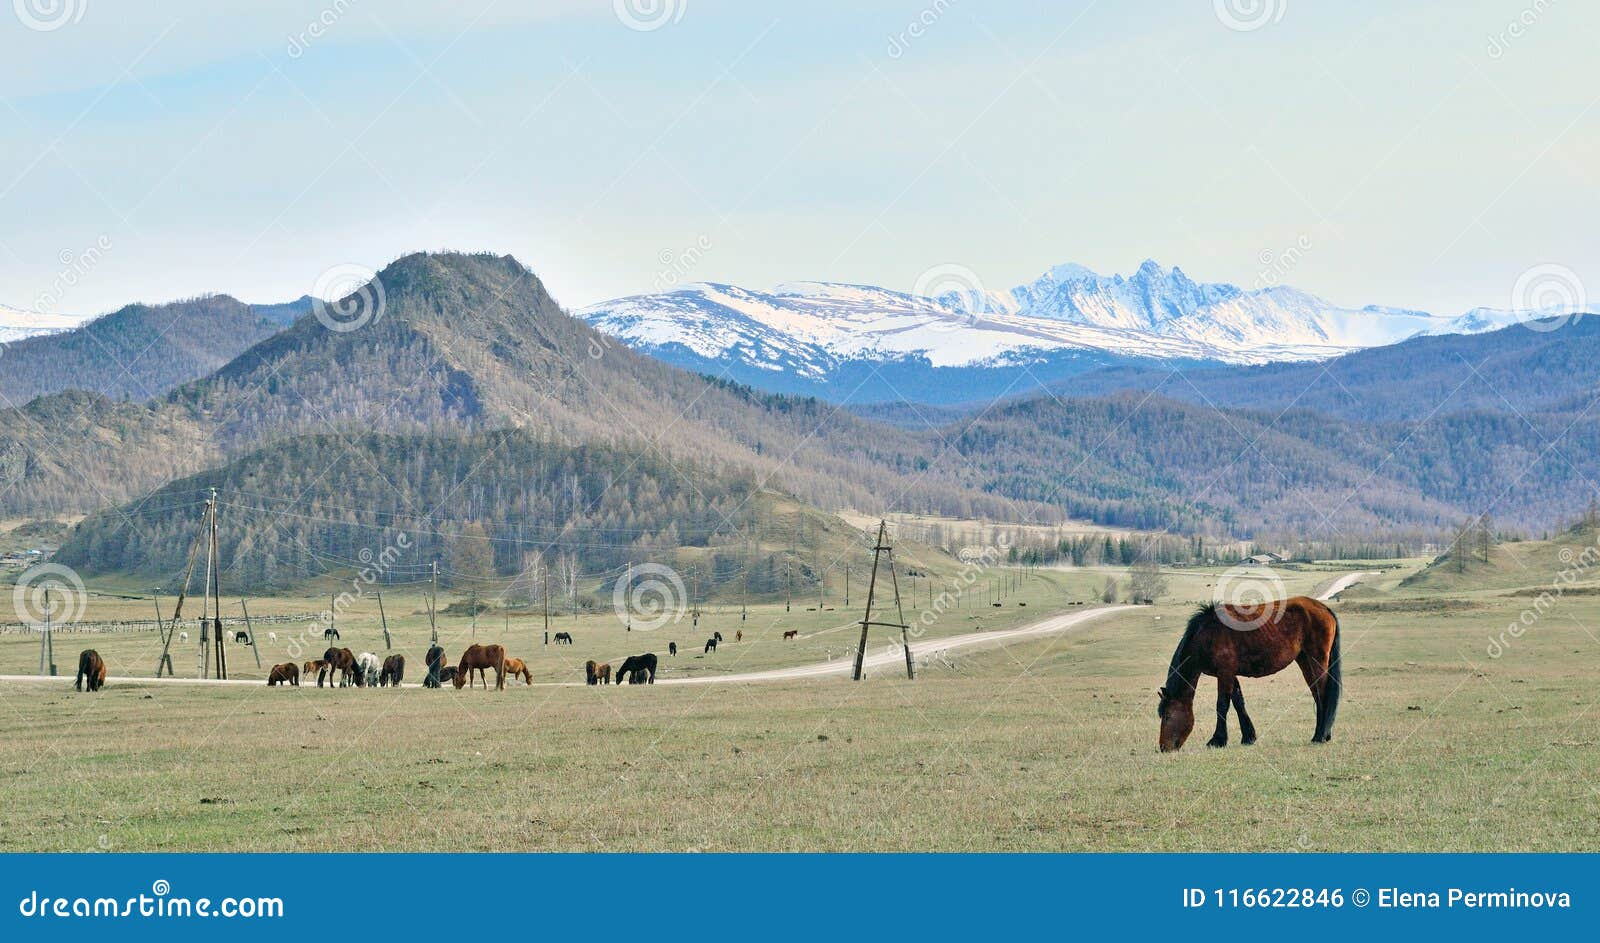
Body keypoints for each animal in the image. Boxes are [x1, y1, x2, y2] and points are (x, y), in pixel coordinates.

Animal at [1158, 595, 1344, 749]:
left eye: (1167, 716)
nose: (1163, 748)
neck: (1207, 634)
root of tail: (1323, 608)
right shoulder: (1229, 674)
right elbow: (1238, 702)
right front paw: (1248, 737)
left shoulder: (1225, 673)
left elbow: (1222, 704)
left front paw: (1217, 740)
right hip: (1305, 661)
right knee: (1316, 694)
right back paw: (1320, 735)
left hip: (1316, 661)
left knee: (1322, 694)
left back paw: (1320, 736)